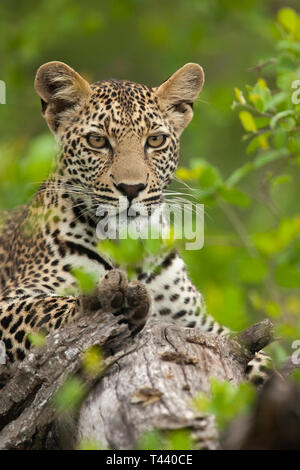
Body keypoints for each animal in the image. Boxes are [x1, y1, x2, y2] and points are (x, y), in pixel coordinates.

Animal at [0, 61, 270, 382]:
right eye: (97, 141)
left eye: (155, 140)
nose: (131, 188)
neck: (127, 250)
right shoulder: (11, 298)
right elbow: (45, 306)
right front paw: (106, 303)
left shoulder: (201, 324)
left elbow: (257, 355)